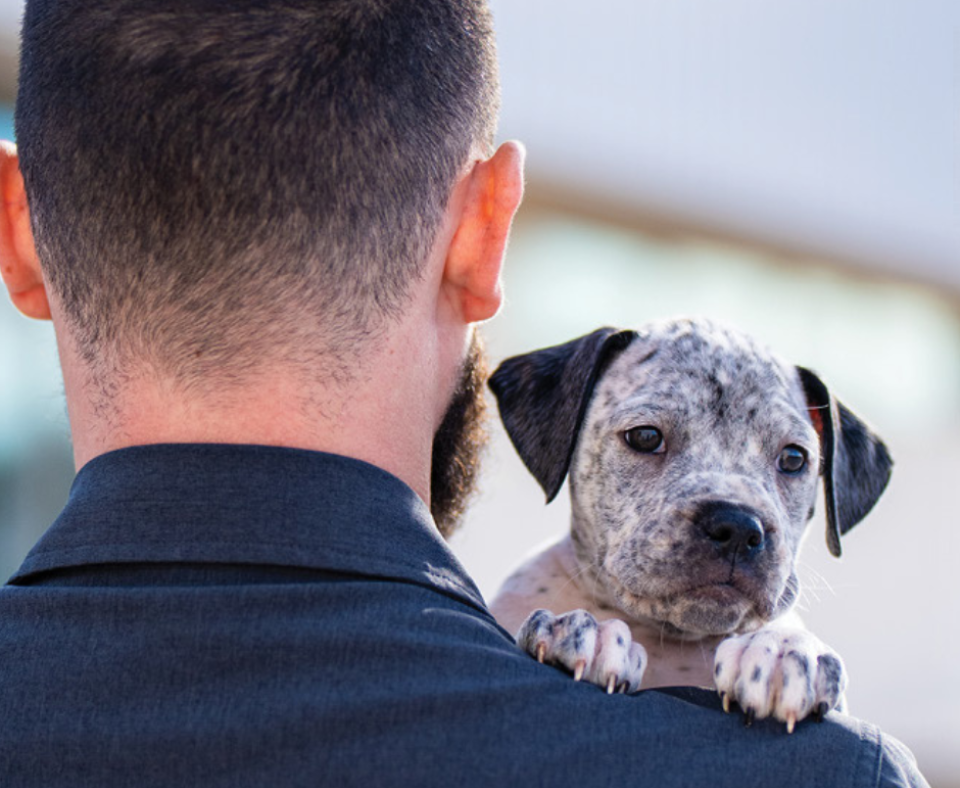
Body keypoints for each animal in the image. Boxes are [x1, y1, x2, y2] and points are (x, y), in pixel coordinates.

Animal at [488, 318, 892, 732]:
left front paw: (783, 651)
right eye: (645, 436)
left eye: (794, 458)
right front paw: (587, 634)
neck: (669, 640)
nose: (737, 527)